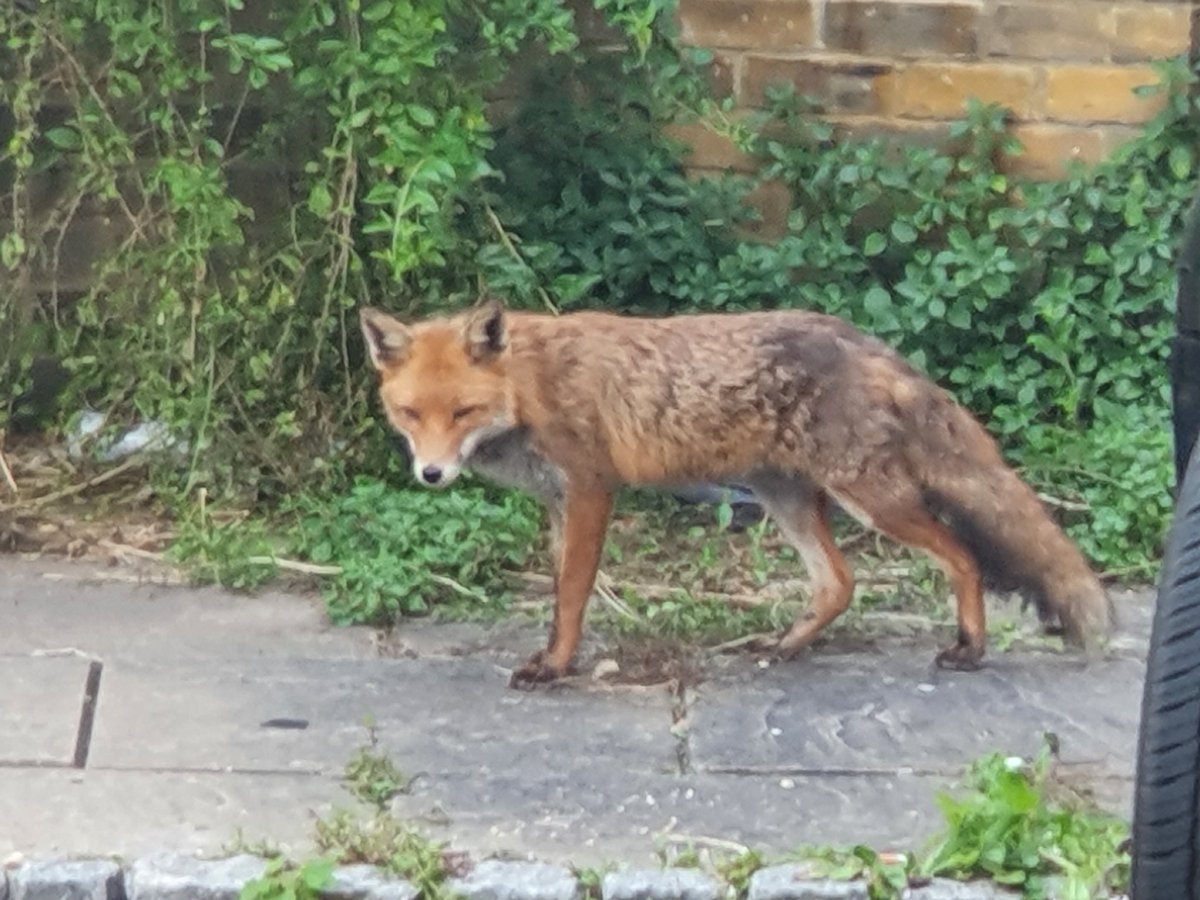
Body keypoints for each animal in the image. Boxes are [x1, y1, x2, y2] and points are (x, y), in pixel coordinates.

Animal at [360, 300, 1113, 688]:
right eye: (410, 414)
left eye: (462, 412)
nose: (431, 475)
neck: (529, 388)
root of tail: (866, 341)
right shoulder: (555, 502)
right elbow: (556, 601)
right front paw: (552, 657)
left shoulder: (593, 490)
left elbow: (571, 598)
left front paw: (557, 668)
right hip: (785, 498)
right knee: (839, 582)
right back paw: (784, 647)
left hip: (871, 498)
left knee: (963, 556)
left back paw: (969, 649)